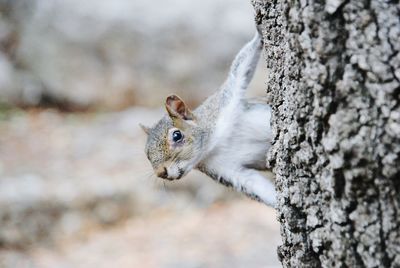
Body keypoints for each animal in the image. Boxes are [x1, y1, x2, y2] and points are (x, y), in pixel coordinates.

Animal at [140, 25, 276, 207]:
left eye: (177, 135)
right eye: (147, 154)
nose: (160, 172)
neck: (212, 146)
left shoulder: (221, 104)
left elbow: (240, 68)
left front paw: (259, 33)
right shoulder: (226, 170)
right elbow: (253, 185)